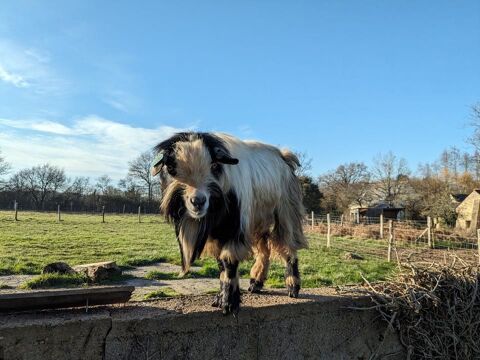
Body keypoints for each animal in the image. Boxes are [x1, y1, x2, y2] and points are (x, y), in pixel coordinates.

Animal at [151, 132, 308, 316]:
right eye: (171, 167)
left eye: (214, 165)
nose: (198, 201)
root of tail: (285, 157)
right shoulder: (216, 234)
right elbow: (220, 265)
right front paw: (219, 300)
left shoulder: (234, 229)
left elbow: (229, 262)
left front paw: (229, 304)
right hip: (257, 222)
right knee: (264, 251)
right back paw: (255, 283)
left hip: (285, 214)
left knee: (288, 247)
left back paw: (292, 287)